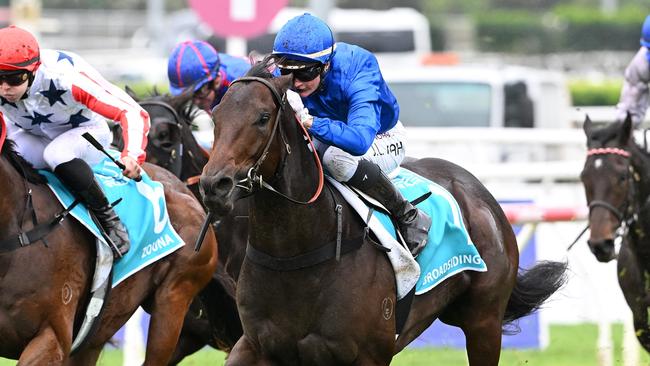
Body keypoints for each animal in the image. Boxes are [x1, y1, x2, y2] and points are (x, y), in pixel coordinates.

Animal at [199, 61, 568, 364]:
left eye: (262, 118)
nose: (215, 185)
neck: (295, 254)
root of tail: (479, 192)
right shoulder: (256, 345)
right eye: (216, 117)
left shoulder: (367, 355)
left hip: (484, 321)